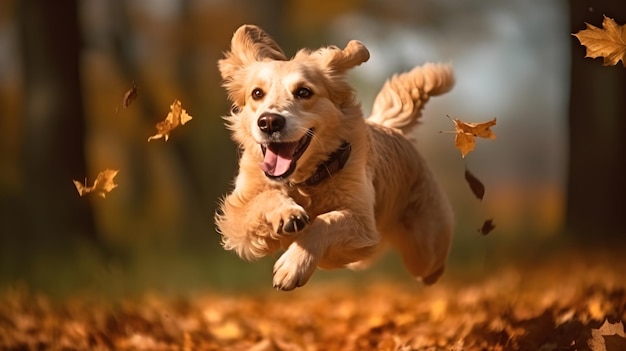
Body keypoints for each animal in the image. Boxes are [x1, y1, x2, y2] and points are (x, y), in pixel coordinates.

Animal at [214, 24, 454, 292]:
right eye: (257, 93)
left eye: (304, 92)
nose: (269, 122)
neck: (304, 181)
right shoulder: (235, 219)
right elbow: (265, 197)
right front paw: (288, 213)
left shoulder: (362, 223)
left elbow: (325, 221)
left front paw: (292, 267)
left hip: (424, 247)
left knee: (430, 266)